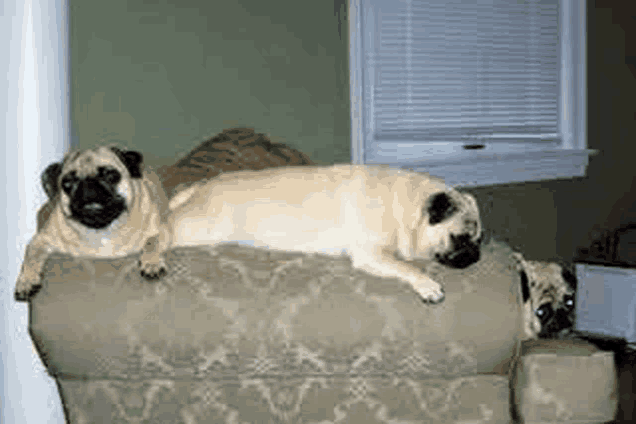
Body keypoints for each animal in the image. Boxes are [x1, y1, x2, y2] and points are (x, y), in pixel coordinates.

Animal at [14, 146, 173, 302]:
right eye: (67, 183)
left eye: (110, 176)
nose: (88, 184)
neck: (102, 229)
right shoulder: (41, 239)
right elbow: (31, 256)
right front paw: (26, 280)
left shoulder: (162, 230)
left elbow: (152, 241)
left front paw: (151, 262)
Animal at [160, 164, 482, 304]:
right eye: (461, 239)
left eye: (478, 240)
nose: (476, 256)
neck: (406, 206)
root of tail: (200, 186)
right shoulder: (371, 254)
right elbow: (408, 266)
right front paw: (427, 285)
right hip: (198, 228)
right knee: (162, 230)